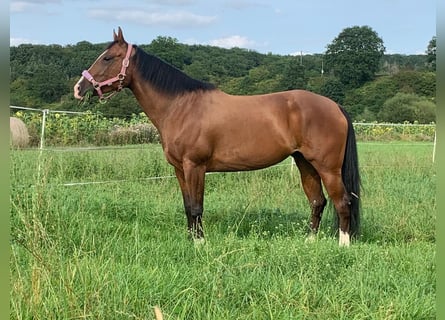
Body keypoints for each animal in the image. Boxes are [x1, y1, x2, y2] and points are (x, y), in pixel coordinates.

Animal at [72, 28, 358, 248]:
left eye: (107, 58)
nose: (78, 88)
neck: (181, 107)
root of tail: (335, 106)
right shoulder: (179, 169)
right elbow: (187, 206)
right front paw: (191, 240)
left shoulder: (195, 166)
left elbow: (197, 207)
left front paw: (200, 243)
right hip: (305, 164)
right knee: (317, 201)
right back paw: (309, 242)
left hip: (327, 168)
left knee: (342, 202)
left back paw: (343, 245)